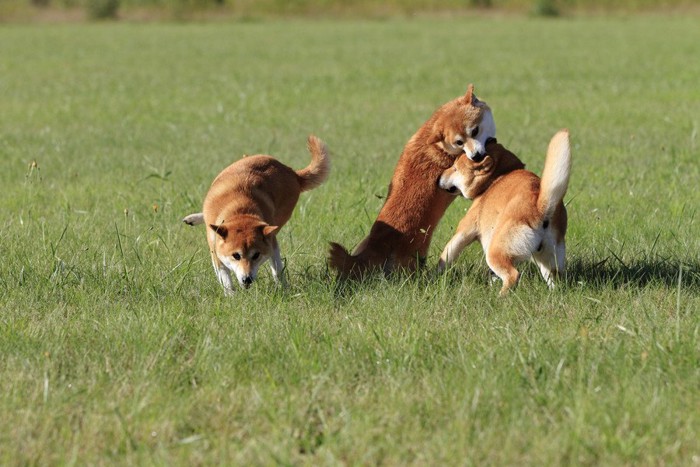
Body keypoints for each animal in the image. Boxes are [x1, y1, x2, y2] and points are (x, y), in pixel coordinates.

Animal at [183, 136, 330, 296]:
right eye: (236, 255)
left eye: (256, 255)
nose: (247, 279)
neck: (239, 211)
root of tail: (292, 172)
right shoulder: (215, 251)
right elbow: (225, 278)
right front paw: (231, 296)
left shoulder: (271, 241)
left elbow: (277, 267)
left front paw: (283, 288)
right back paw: (194, 218)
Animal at [330, 84, 494, 280]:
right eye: (459, 142)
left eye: (474, 131)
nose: (476, 156)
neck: (440, 144)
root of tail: (378, 242)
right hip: (413, 257)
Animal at [440, 128, 572, 296]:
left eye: (455, 168)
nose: (438, 177)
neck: (496, 178)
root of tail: (540, 206)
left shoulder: (464, 231)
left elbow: (447, 254)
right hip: (549, 258)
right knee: (554, 278)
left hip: (495, 251)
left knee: (512, 275)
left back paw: (499, 297)